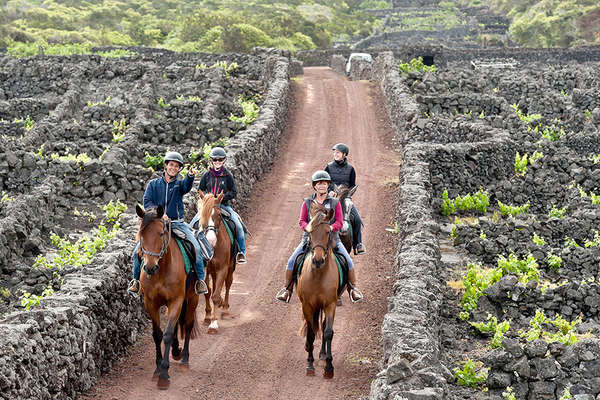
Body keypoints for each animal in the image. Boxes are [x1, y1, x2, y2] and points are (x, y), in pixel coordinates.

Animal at [134, 205, 199, 390]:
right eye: (141, 234)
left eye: (161, 233)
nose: (150, 267)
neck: (161, 271)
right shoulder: (151, 303)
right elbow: (157, 334)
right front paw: (157, 370)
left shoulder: (176, 300)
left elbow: (168, 334)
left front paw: (164, 374)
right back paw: (176, 352)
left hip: (192, 297)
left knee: (188, 324)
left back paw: (184, 359)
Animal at [196, 192, 236, 332]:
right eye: (202, 214)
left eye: (219, 214)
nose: (211, 240)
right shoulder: (205, 269)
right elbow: (208, 292)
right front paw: (208, 317)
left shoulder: (223, 268)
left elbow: (216, 295)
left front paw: (213, 323)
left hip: (230, 266)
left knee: (228, 284)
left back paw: (225, 309)